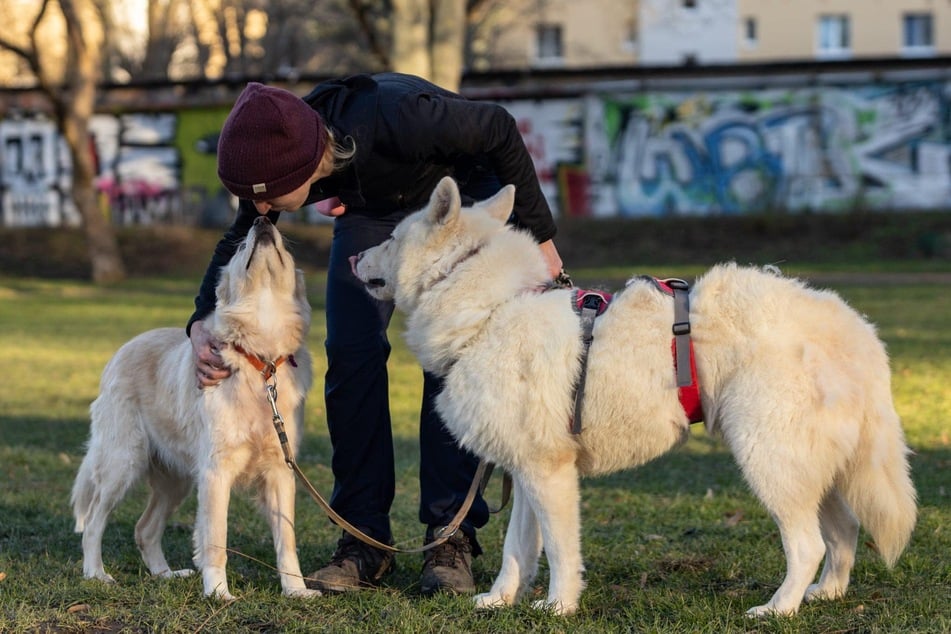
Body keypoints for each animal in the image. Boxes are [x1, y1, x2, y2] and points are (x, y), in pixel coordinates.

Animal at [70, 216, 322, 596]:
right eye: (239, 246)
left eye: (281, 244)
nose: (262, 219)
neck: (259, 360)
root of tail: (123, 349)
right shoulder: (215, 473)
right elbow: (215, 539)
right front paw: (218, 593)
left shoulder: (280, 472)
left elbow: (287, 541)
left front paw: (296, 591)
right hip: (122, 462)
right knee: (95, 520)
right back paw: (96, 574)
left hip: (175, 481)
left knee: (144, 529)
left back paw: (165, 575)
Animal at [354, 175, 920, 616]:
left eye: (394, 237)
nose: (355, 253)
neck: (493, 308)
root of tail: (855, 329)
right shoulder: (528, 469)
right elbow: (518, 549)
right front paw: (500, 600)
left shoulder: (549, 474)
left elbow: (559, 550)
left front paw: (559, 606)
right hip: (817, 469)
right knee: (843, 534)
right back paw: (825, 595)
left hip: (770, 460)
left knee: (806, 545)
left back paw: (780, 608)